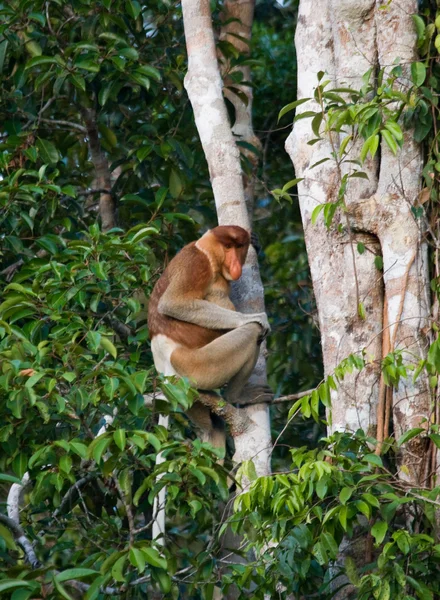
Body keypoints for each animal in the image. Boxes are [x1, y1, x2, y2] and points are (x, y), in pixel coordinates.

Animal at [149, 225, 272, 446]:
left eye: (239, 247)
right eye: (227, 246)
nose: (234, 263)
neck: (207, 250)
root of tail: (164, 371)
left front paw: (256, 243)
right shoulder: (197, 263)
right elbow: (173, 303)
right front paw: (256, 318)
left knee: (213, 427)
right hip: (194, 366)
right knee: (253, 332)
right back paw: (235, 397)